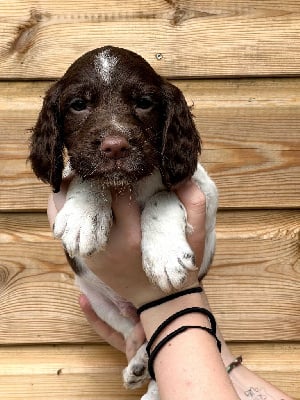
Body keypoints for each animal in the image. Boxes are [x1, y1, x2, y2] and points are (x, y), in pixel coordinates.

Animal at [28, 45, 218, 398]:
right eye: (78, 105)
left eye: (144, 102)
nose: (115, 147)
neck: (128, 184)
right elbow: (87, 177)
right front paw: (84, 215)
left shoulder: (204, 190)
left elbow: (162, 197)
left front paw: (165, 257)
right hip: (98, 300)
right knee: (136, 330)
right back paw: (140, 362)